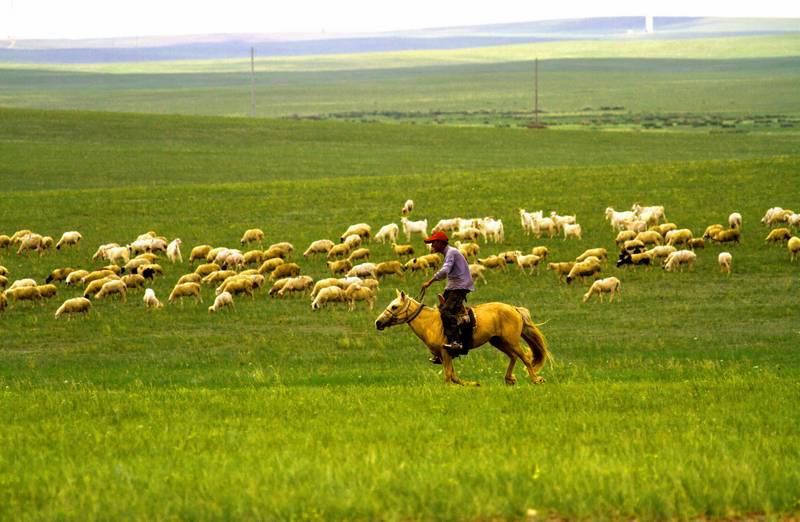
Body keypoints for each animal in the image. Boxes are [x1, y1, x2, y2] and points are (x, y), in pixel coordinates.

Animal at [376, 290, 552, 384]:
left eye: (394, 306)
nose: (378, 322)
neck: (430, 323)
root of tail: (513, 308)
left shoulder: (446, 352)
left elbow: (449, 376)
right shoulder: (445, 355)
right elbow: (454, 376)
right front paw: (473, 384)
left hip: (512, 341)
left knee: (525, 357)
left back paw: (536, 379)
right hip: (498, 341)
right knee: (513, 357)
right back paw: (509, 379)